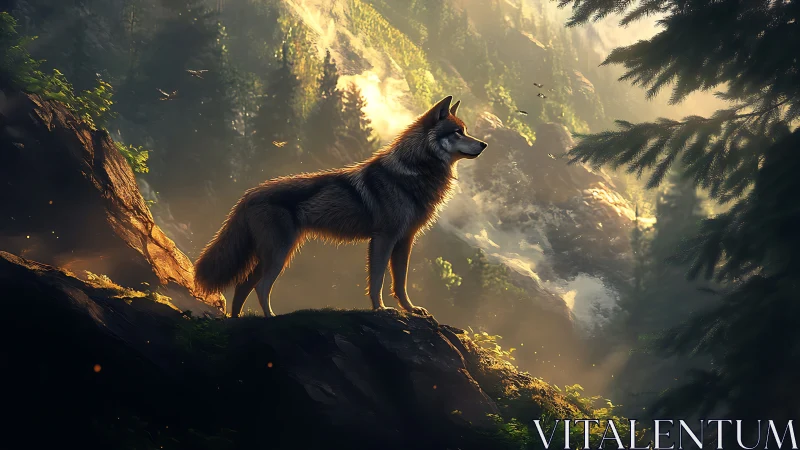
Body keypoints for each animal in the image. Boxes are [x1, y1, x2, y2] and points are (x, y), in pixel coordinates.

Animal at [194, 96, 487, 317]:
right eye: (458, 132)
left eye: (465, 130)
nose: (484, 144)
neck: (413, 172)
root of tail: (249, 194)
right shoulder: (384, 238)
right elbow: (378, 281)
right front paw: (380, 309)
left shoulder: (405, 240)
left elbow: (401, 283)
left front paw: (411, 309)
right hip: (279, 256)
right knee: (261, 287)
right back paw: (270, 318)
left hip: (272, 255)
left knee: (243, 286)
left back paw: (236, 321)